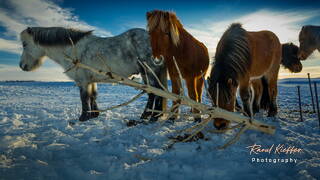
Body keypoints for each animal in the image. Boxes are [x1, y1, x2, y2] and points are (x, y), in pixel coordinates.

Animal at [19, 26, 168, 121]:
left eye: (25, 44)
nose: (22, 66)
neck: (73, 50)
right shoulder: (91, 80)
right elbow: (93, 96)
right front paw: (94, 115)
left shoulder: (83, 81)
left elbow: (84, 98)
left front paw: (83, 117)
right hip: (146, 73)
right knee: (154, 93)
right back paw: (150, 116)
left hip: (149, 72)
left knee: (156, 93)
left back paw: (150, 117)